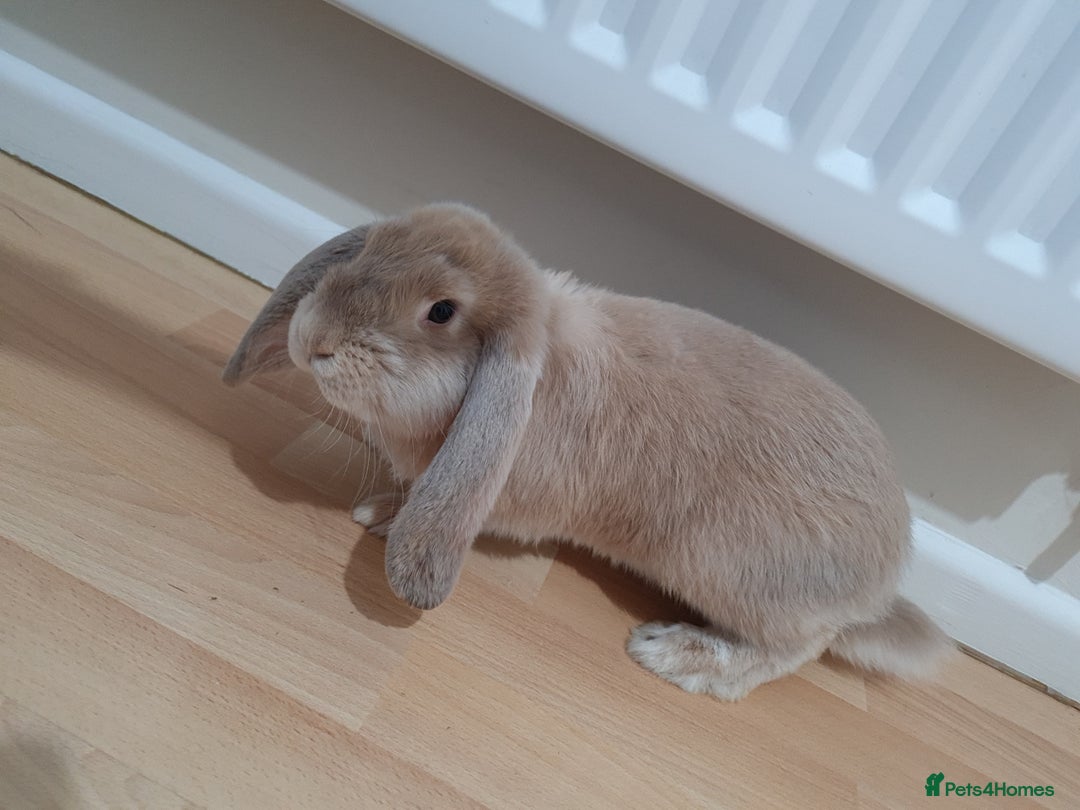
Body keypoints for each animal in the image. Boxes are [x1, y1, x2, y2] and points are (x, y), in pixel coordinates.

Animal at [223, 203, 953, 700]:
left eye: (441, 311)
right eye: (368, 247)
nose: (311, 338)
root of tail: (880, 586)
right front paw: (381, 510)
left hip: (733, 573)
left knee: (800, 646)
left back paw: (674, 655)